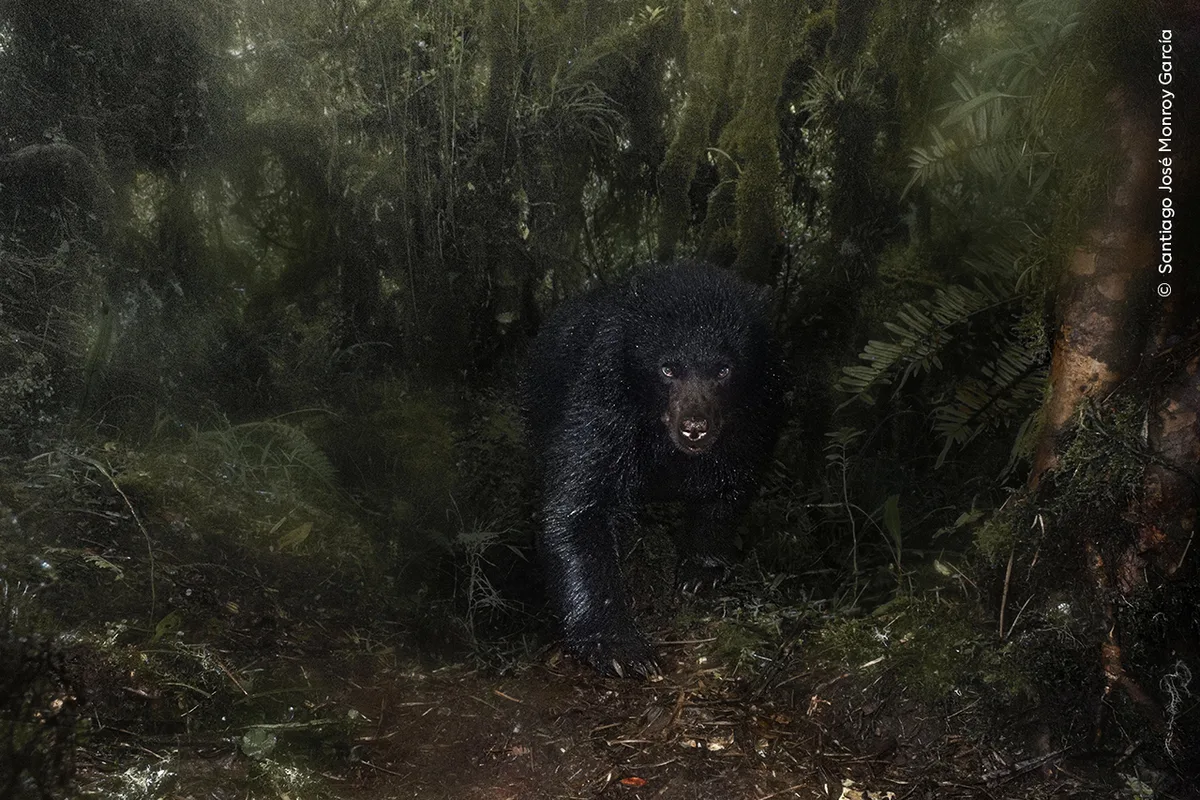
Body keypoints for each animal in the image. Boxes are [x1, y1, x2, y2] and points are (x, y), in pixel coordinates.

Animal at [521, 261, 785, 677]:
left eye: (724, 369)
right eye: (668, 369)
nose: (695, 427)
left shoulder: (757, 408)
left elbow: (733, 479)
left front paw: (700, 572)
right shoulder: (603, 399)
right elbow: (578, 506)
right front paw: (620, 647)